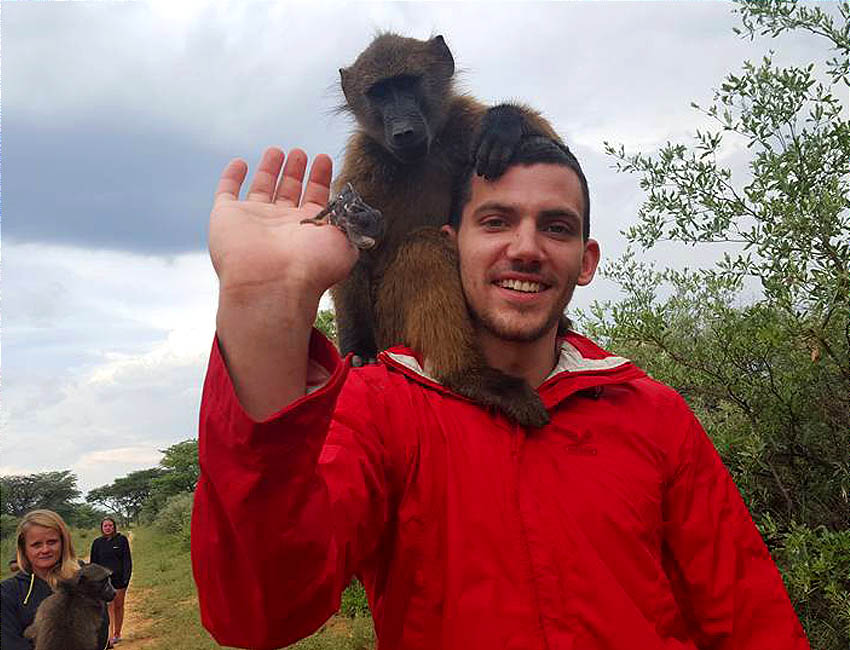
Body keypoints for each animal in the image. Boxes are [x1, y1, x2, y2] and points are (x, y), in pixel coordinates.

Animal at [330, 33, 565, 427]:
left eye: (408, 84)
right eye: (380, 93)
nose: (403, 131)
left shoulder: (463, 124)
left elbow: (555, 151)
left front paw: (506, 120)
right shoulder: (363, 161)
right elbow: (352, 252)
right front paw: (358, 349)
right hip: (391, 327)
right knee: (425, 246)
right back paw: (473, 378)